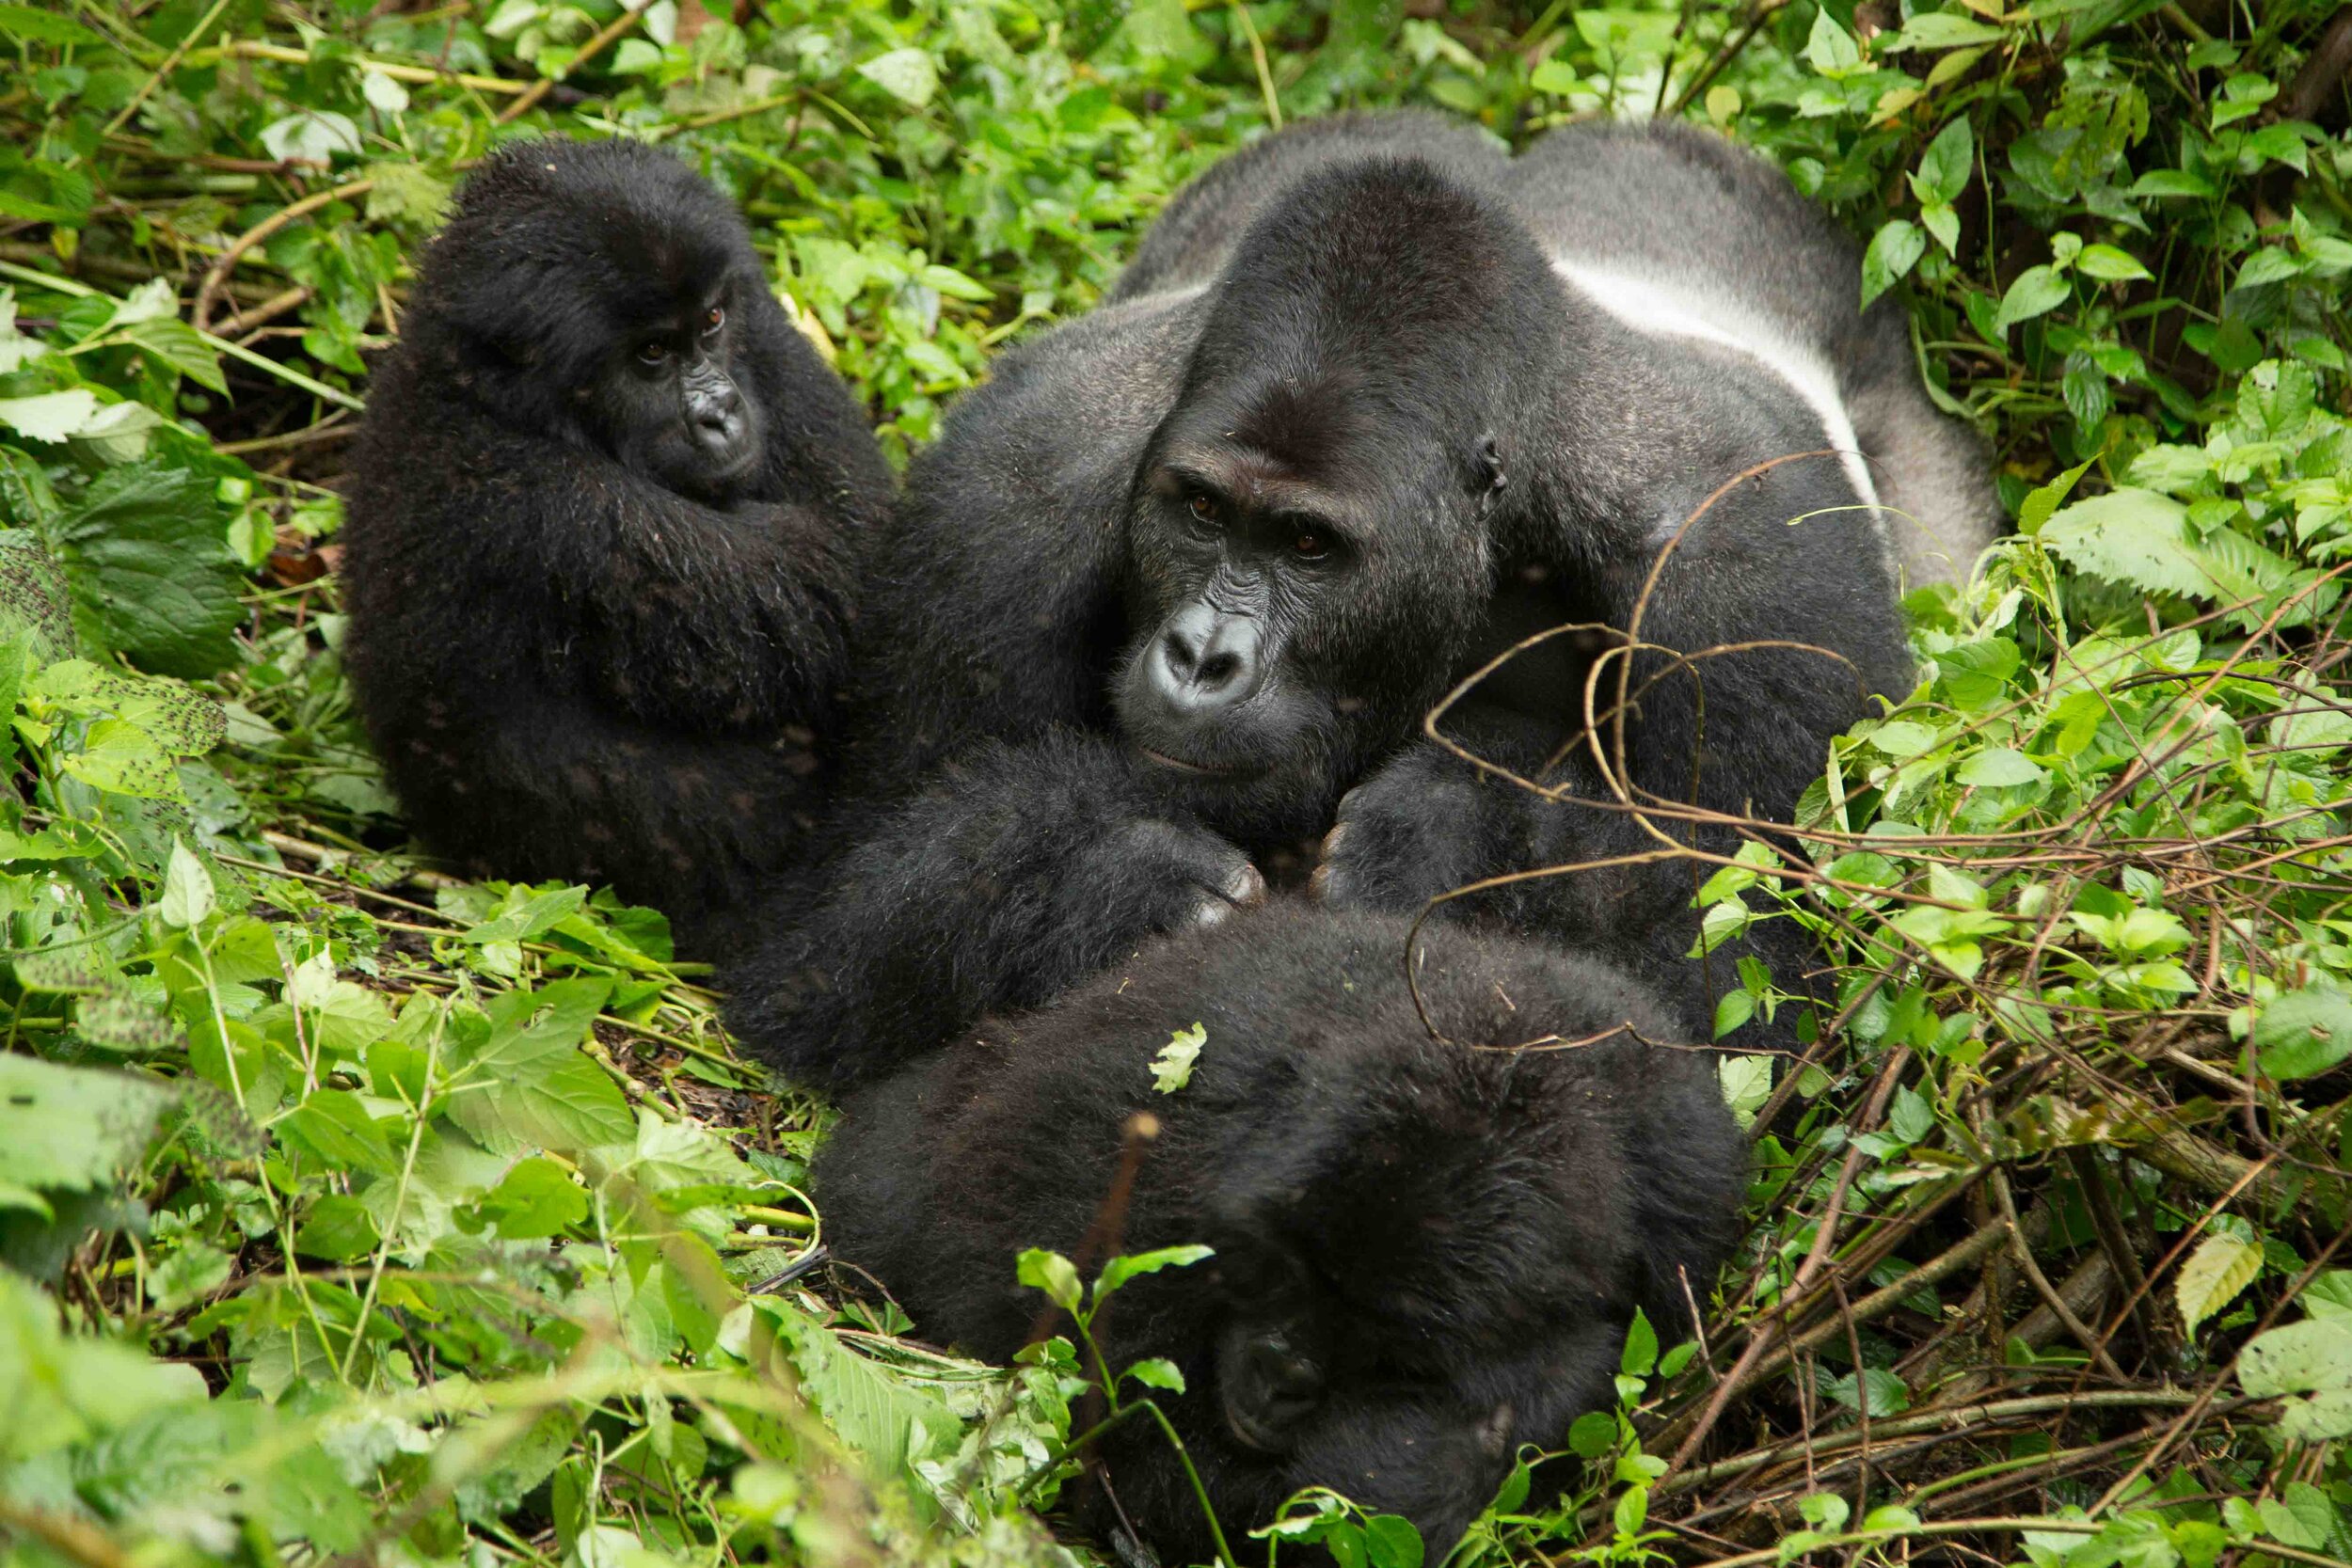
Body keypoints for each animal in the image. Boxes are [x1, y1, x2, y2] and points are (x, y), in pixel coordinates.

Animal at [343, 137, 894, 944]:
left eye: (712, 322)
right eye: (652, 355)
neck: (490, 390)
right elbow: (851, 595)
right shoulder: (560, 512)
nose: (722, 414)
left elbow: (861, 517)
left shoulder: (769, 340)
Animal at [724, 113, 1994, 1090]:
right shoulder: (1007, 497)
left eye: (1307, 544)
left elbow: (1745, 996)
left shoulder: (1750, 569)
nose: (1202, 655)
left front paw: (1461, 836)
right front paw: (1107, 875)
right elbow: (829, 929)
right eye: (1201, 512)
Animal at [818, 902, 1759, 1560]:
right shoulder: (1152, 1182)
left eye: (1393, 1343)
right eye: (1279, 1271)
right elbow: (1137, 1458)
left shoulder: (1688, 1184)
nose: (1280, 1372)